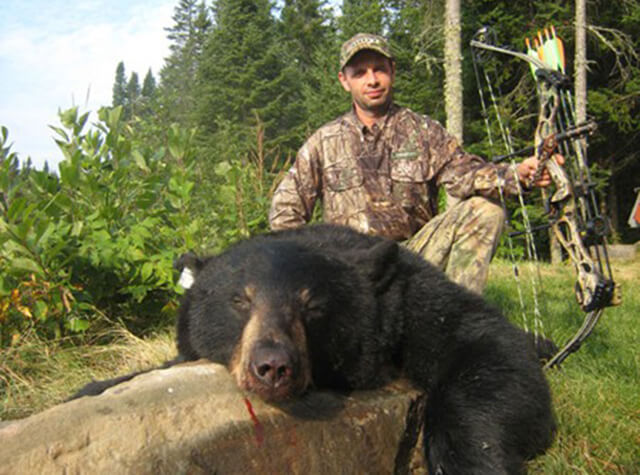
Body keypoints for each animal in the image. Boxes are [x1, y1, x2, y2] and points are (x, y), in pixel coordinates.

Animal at [74, 225, 556, 474]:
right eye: (240, 300)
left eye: (313, 304)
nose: (272, 366)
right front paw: (90, 388)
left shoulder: (414, 303)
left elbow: (489, 348)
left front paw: (469, 461)